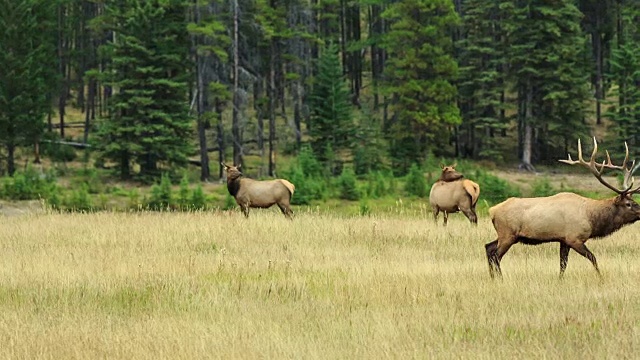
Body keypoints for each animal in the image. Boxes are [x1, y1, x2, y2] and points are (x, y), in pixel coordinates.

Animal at [484, 138, 640, 278]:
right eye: (628, 204)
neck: (592, 219)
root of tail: (492, 211)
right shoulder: (574, 238)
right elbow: (593, 258)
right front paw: (600, 277)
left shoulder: (563, 240)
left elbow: (563, 264)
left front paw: (560, 280)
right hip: (508, 234)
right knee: (496, 255)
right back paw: (500, 278)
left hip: (506, 235)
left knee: (488, 248)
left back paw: (492, 277)